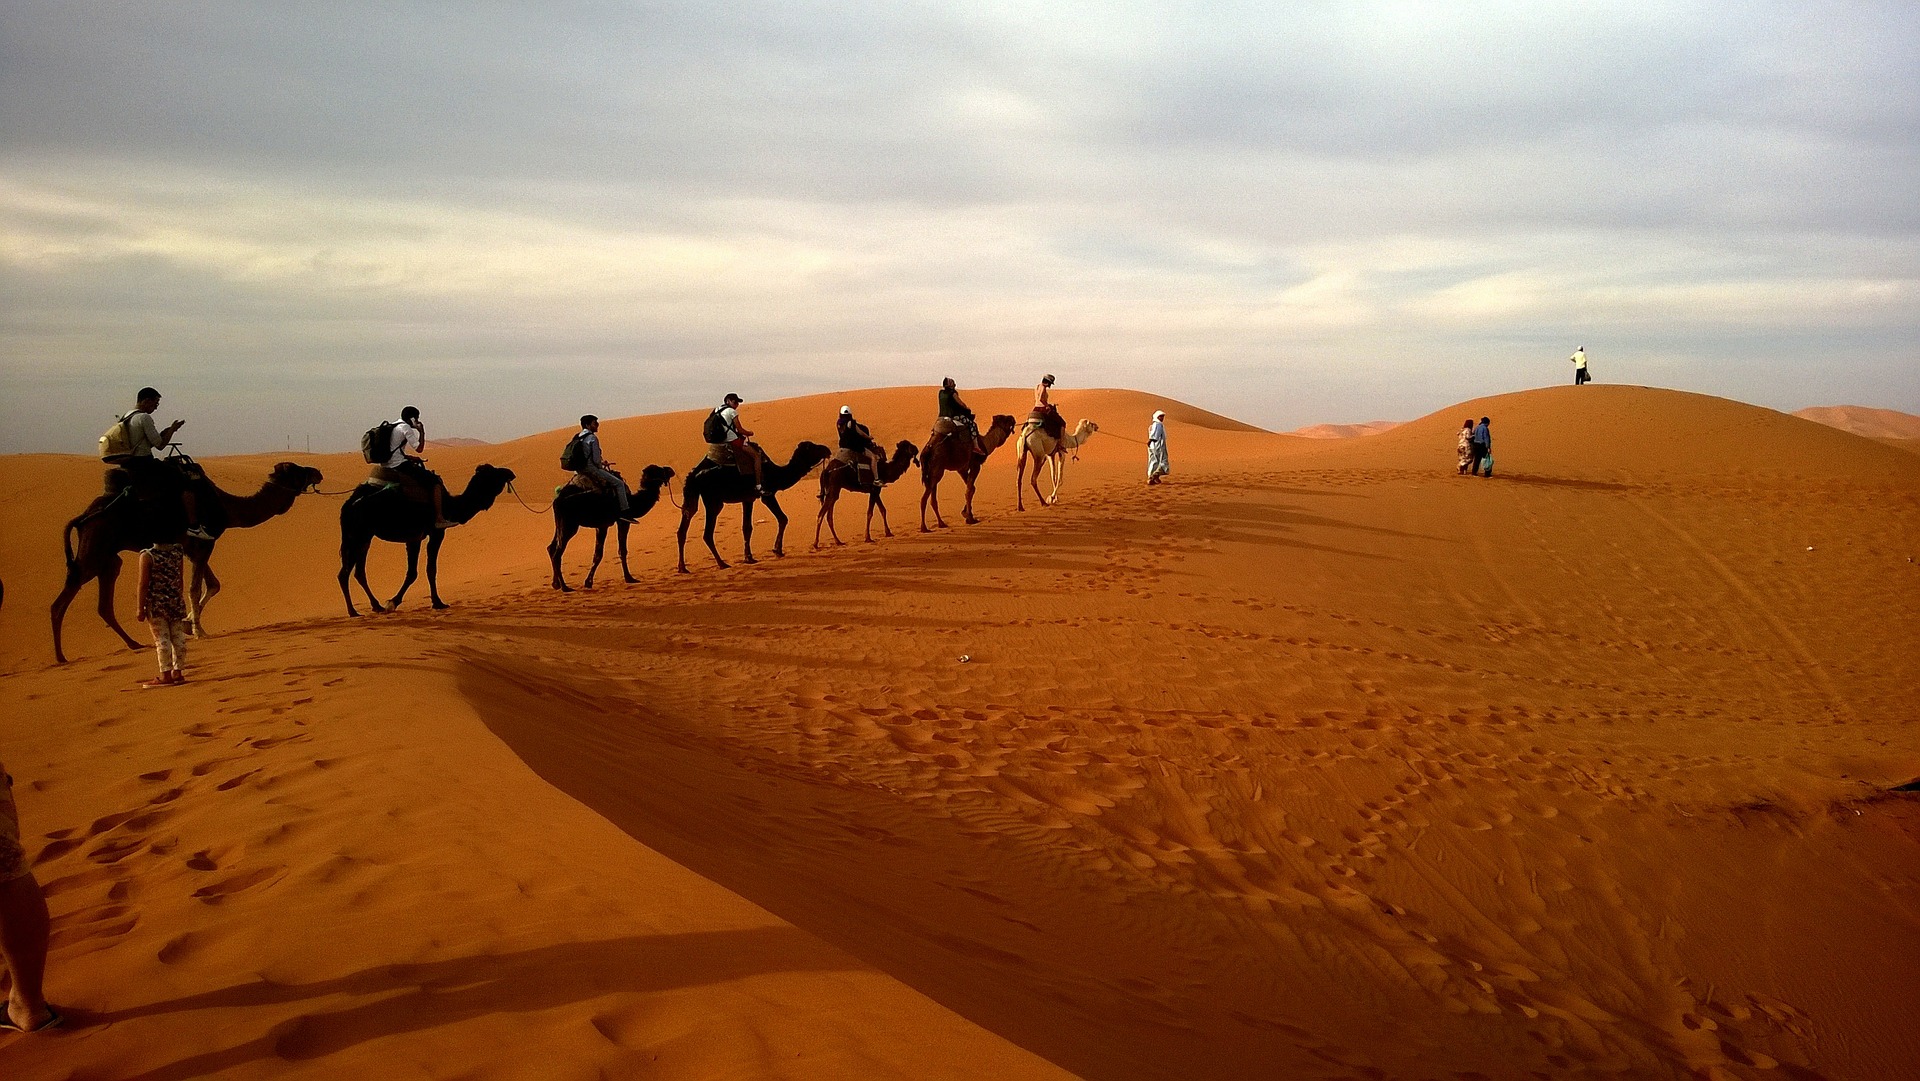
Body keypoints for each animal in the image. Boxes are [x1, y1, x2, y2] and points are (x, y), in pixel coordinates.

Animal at [52, 460, 324, 664]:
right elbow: (194, 587)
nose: (318, 472)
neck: (225, 507)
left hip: (108, 557)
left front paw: (186, 624)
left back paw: (133, 644)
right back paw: (61, 656)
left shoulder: (194, 548)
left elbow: (213, 585)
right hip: (95, 546)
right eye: (297, 470)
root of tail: (84, 516)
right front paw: (198, 631)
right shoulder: (204, 544)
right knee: (64, 597)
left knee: (104, 601)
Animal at [337, 462, 518, 618]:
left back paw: (375, 606)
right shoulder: (434, 533)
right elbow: (426, 570)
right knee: (345, 573)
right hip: (359, 535)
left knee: (358, 572)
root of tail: (349, 504)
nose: (510, 472)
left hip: (363, 537)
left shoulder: (415, 537)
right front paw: (435, 602)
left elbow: (415, 571)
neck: (450, 506)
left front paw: (393, 602)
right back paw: (353, 611)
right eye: (494, 473)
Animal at [675, 441, 825, 576]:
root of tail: (694, 475)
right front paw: (777, 551)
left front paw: (749, 557)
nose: (826, 449)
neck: (775, 474)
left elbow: (747, 527)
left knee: (684, 525)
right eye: (812, 447)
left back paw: (683, 568)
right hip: (713, 500)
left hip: (692, 497)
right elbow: (783, 518)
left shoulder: (748, 499)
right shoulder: (767, 494)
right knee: (707, 533)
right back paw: (722, 564)